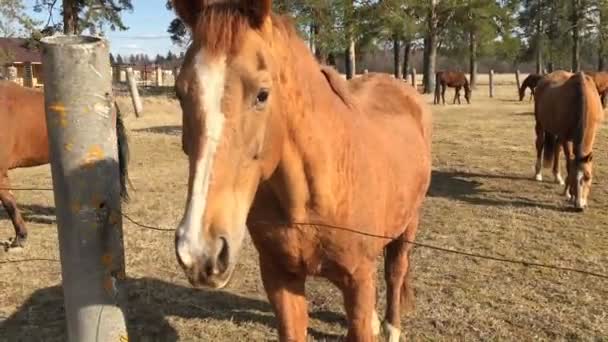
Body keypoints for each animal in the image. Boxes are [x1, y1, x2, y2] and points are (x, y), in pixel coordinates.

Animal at [170, 1, 432, 340]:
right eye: (180, 93)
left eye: (263, 94)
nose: (200, 252)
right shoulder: (281, 279)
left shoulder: (358, 281)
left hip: (409, 224)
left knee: (395, 272)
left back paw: (391, 327)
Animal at [536, 70, 600, 210]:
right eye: (572, 178)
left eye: (588, 177)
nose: (580, 206)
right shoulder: (566, 138)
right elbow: (569, 164)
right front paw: (570, 195)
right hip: (540, 124)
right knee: (540, 145)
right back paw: (538, 174)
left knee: (556, 147)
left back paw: (557, 176)